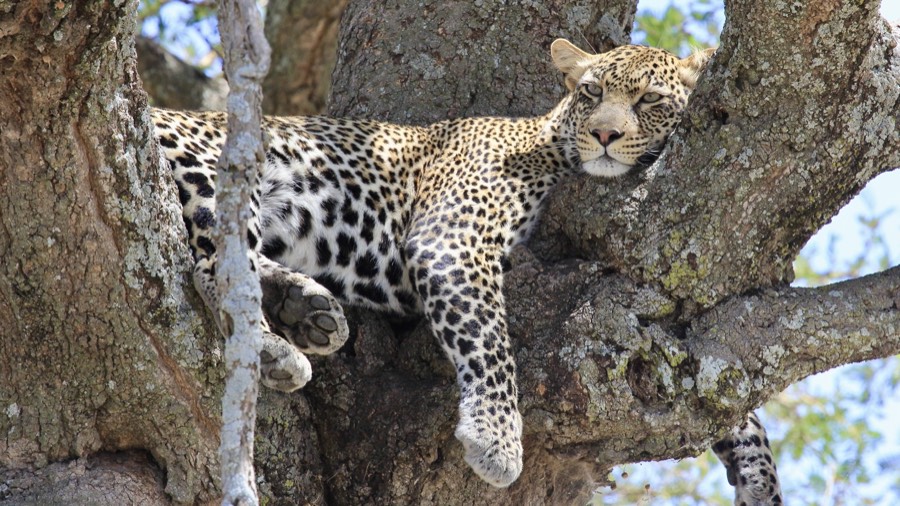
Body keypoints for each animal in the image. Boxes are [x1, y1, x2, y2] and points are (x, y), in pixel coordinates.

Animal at [152, 38, 782, 500]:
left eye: (650, 100)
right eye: (592, 91)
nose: (605, 134)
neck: (552, 144)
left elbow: (726, 393)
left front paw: (762, 486)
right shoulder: (453, 240)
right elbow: (490, 342)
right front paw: (496, 440)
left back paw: (306, 311)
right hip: (215, 166)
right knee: (215, 264)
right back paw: (275, 346)